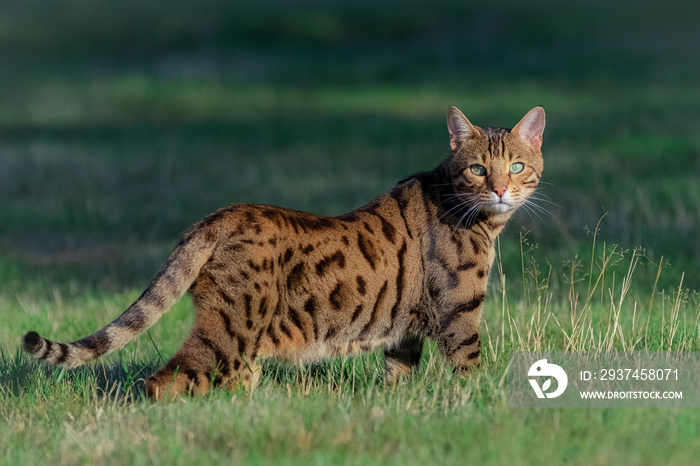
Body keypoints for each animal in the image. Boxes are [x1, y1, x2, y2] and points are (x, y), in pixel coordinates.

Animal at [23, 106, 548, 400]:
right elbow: (471, 371)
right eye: (478, 169)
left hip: (244, 345)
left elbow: (396, 378)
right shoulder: (459, 313)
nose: (500, 189)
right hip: (231, 331)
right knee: (166, 381)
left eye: (516, 166)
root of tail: (220, 214)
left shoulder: (405, 331)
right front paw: (482, 407)